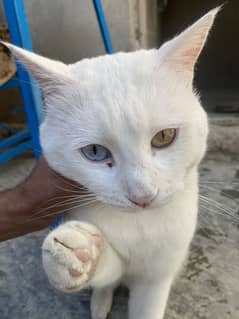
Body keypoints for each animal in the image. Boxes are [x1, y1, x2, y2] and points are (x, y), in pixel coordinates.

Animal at [4, 6, 219, 319]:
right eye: (95, 152)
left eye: (164, 137)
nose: (143, 196)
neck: (139, 225)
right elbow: (107, 272)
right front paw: (75, 254)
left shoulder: (156, 278)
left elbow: (147, 307)